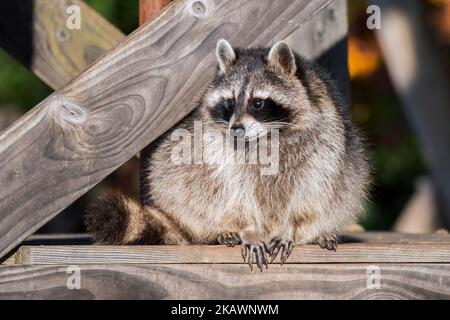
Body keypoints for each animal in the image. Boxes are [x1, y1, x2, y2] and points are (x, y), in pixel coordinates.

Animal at [86, 38, 370, 272]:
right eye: (230, 102)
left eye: (258, 103)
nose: (236, 129)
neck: (265, 136)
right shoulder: (216, 148)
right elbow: (229, 189)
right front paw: (247, 228)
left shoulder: (323, 141)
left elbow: (311, 187)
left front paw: (290, 226)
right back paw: (219, 231)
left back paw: (319, 232)